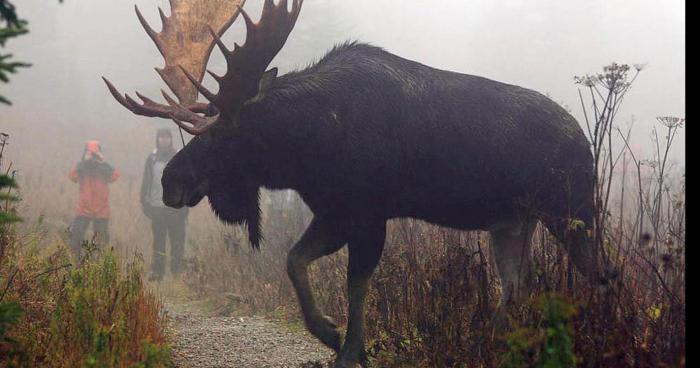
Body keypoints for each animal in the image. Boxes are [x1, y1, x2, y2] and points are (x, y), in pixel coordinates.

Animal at [104, 1, 596, 366]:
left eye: (226, 135)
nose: (170, 181)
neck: (310, 144)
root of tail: (585, 140)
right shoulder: (333, 211)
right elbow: (295, 260)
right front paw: (327, 331)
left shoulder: (368, 212)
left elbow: (355, 282)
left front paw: (350, 349)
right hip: (511, 223)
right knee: (516, 286)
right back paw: (493, 346)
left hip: (572, 211)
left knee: (598, 273)